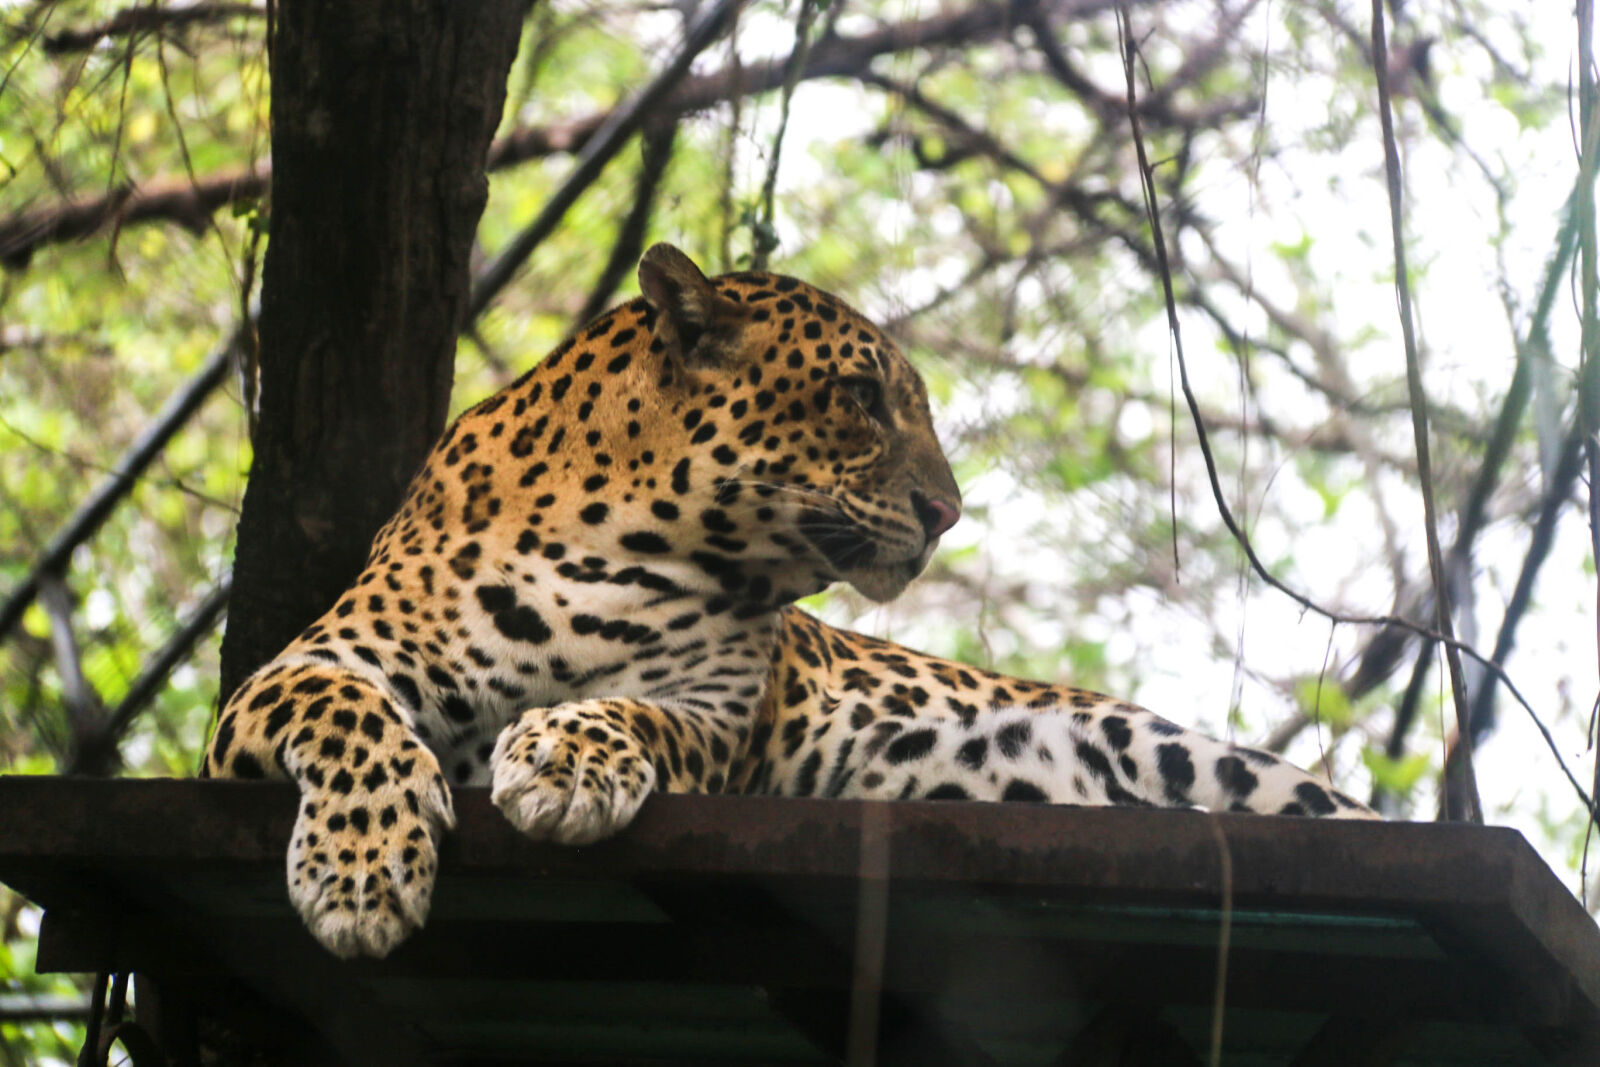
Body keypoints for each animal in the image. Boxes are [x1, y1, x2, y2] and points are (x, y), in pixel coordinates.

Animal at [204, 243, 1375, 959]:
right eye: (860, 396)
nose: (948, 511)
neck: (610, 542)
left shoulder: (720, 715)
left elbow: (629, 710)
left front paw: (564, 760)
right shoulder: (303, 667)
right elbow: (356, 726)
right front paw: (362, 876)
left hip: (1197, 757)